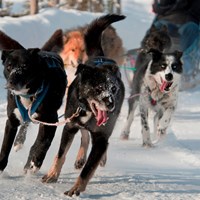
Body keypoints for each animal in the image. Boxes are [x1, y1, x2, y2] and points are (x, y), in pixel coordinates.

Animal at [0, 29, 67, 172]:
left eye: (25, 66)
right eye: (9, 66)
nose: (12, 82)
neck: (28, 95)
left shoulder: (50, 120)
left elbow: (41, 143)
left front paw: (35, 162)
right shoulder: (11, 121)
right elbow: (5, 148)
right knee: (25, 122)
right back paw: (19, 141)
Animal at [42, 14, 125, 197]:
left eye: (113, 89)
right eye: (98, 88)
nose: (111, 104)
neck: (88, 111)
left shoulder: (101, 138)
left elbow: (88, 169)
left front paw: (76, 188)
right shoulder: (69, 127)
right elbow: (61, 154)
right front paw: (52, 174)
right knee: (85, 136)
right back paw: (80, 157)